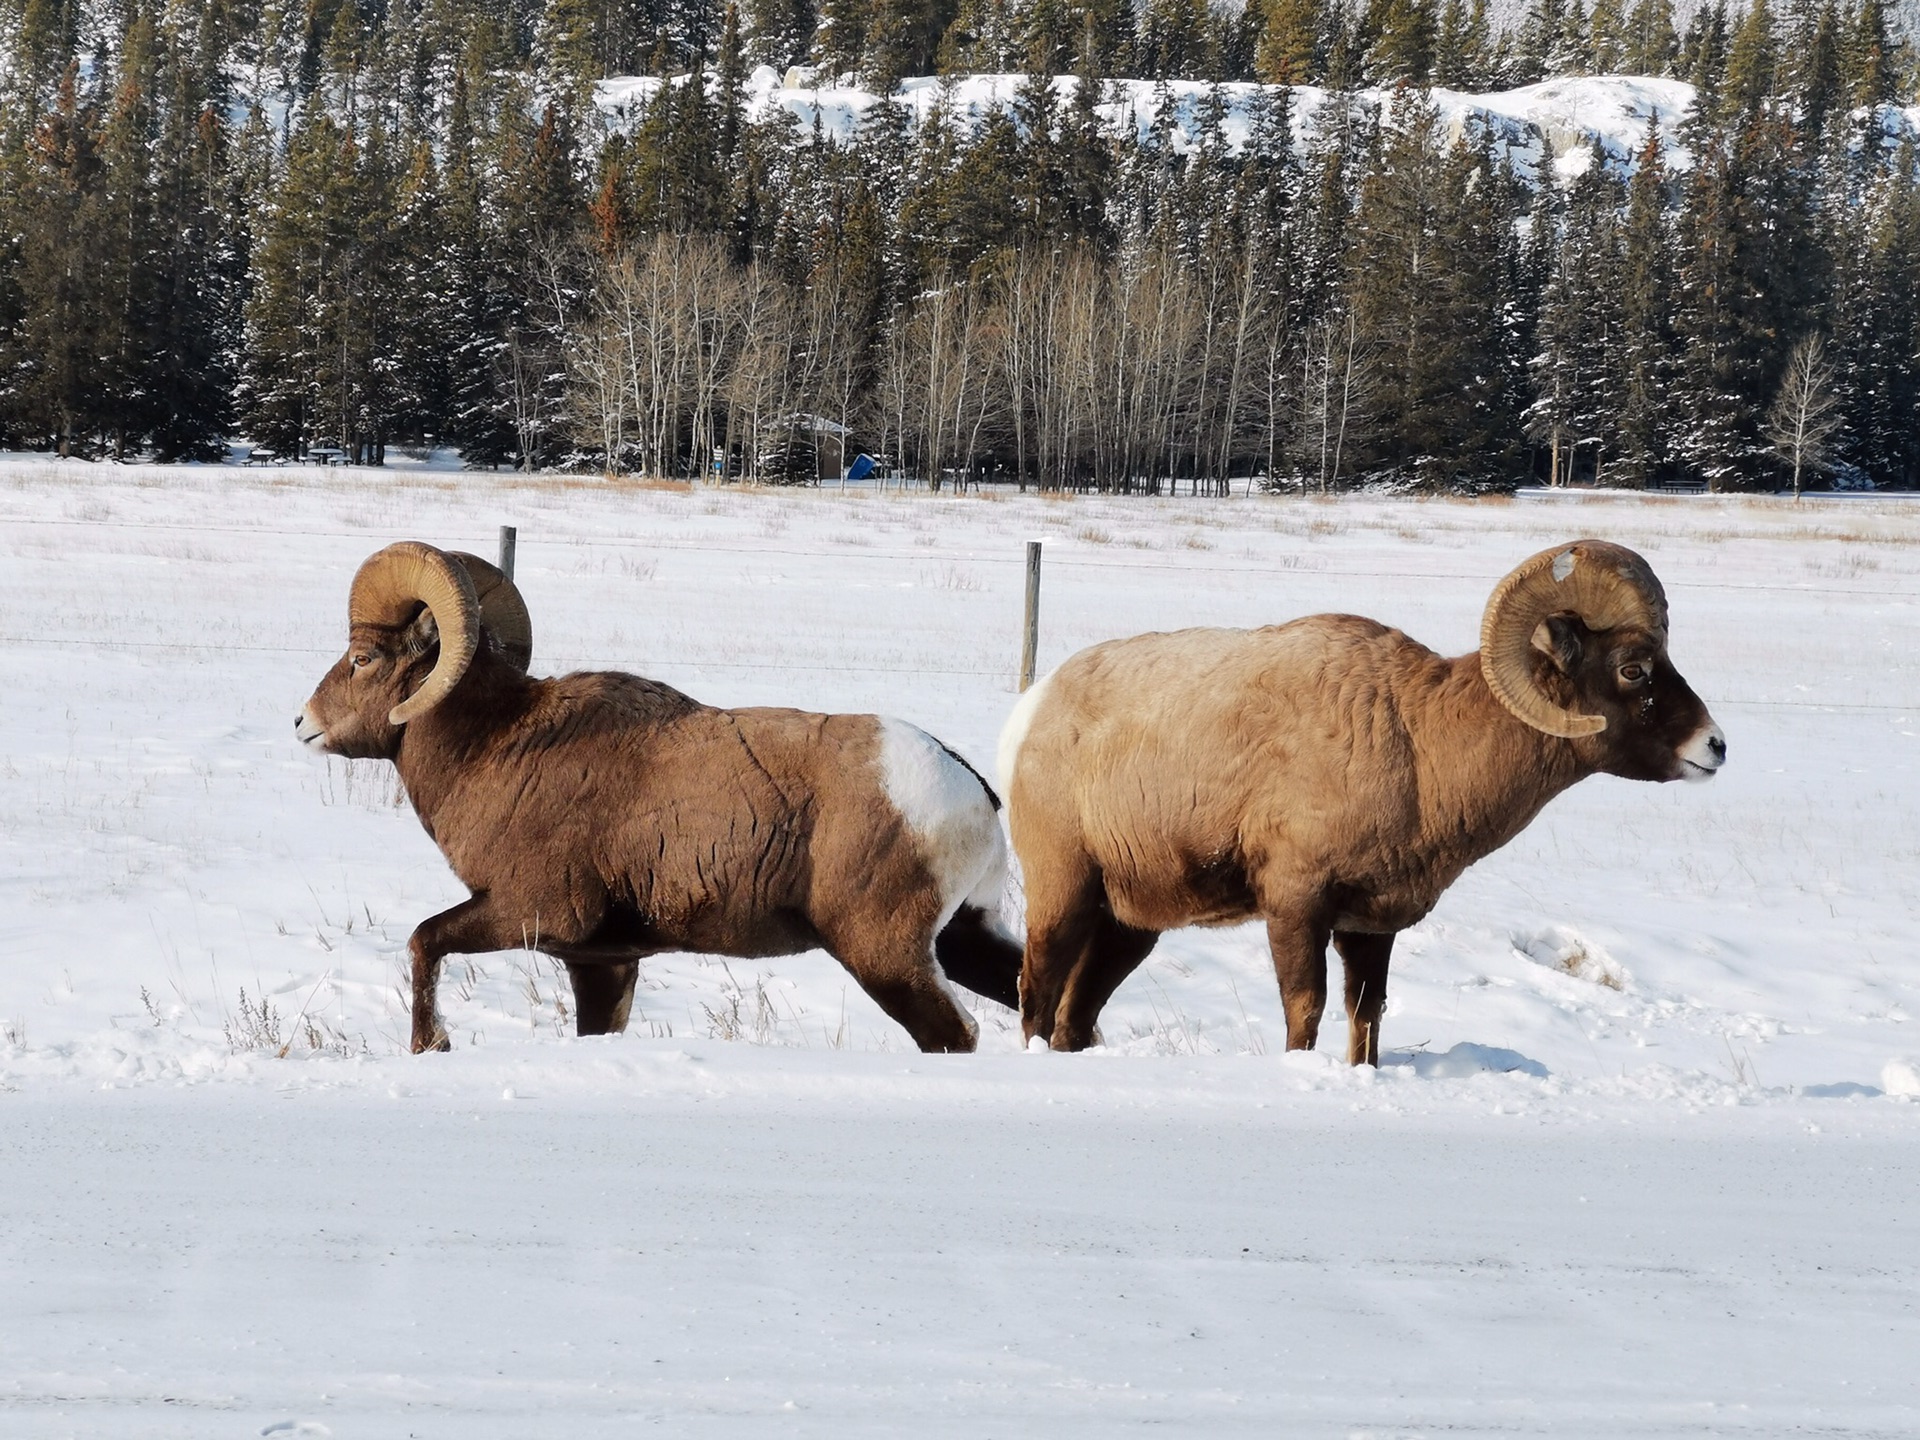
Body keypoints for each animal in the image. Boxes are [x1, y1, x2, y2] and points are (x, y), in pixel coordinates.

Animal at [297, 537, 1021, 1052]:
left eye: (362, 659)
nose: (304, 723)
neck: (494, 750)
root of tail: (969, 788)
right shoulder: (603, 964)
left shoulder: (529, 913)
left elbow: (424, 941)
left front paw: (433, 1046)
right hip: (961, 940)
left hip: (884, 956)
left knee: (953, 1036)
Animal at [998, 537, 1735, 1059]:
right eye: (1633, 669)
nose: (1715, 746)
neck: (1419, 745)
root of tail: (1032, 714)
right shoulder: (1296, 906)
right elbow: (1305, 1014)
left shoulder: (1369, 928)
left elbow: (1365, 1021)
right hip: (1065, 892)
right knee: (1038, 995)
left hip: (1130, 925)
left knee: (1073, 1019)